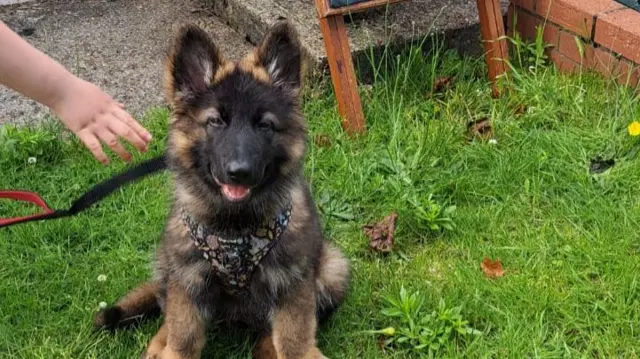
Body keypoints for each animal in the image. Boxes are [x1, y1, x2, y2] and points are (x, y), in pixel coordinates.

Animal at [94, 22, 350, 359]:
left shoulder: (291, 283)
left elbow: (294, 338)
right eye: (215, 121)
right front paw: (169, 346)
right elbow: (182, 337)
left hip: (333, 268)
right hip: (168, 262)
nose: (239, 172)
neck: (234, 227)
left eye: (264, 125)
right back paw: (159, 343)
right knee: (167, 310)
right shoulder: (188, 281)